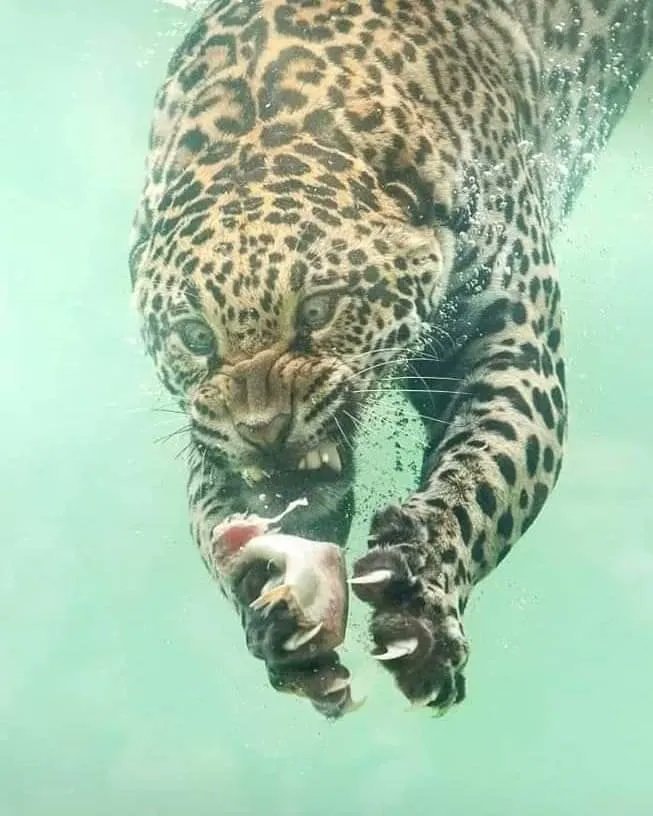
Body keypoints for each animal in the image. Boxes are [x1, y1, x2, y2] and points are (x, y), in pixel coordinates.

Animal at [130, 0, 652, 718]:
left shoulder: (514, 354)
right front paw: (276, 613)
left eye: (317, 311)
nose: (263, 430)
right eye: (196, 336)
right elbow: (221, 514)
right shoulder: (210, 432)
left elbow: (481, 478)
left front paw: (420, 599)